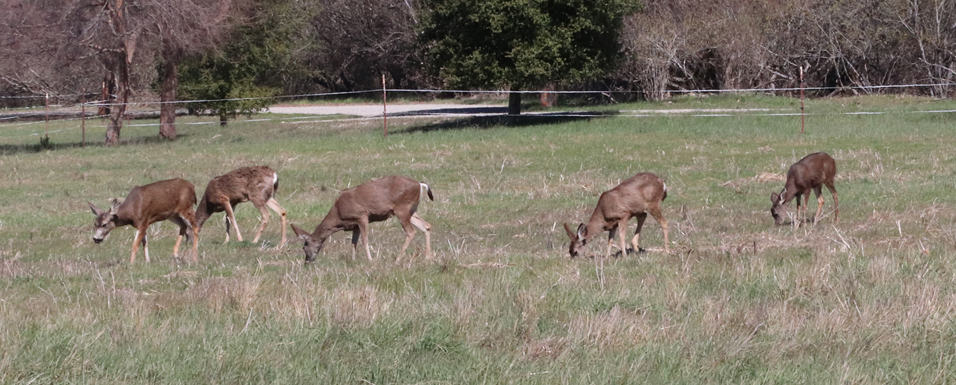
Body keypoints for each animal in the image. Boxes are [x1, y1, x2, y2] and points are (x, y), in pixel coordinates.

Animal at [290, 175, 436, 262]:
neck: (338, 215)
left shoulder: (362, 215)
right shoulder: (354, 224)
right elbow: (353, 242)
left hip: (402, 209)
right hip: (411, 210)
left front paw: (370, 260)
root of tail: (419, 184)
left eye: (304, 246)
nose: (307, 261)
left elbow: (364, 240)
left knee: (411, 231)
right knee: (426, 225)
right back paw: (427, 257)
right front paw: (353, 260)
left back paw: (398, 259)